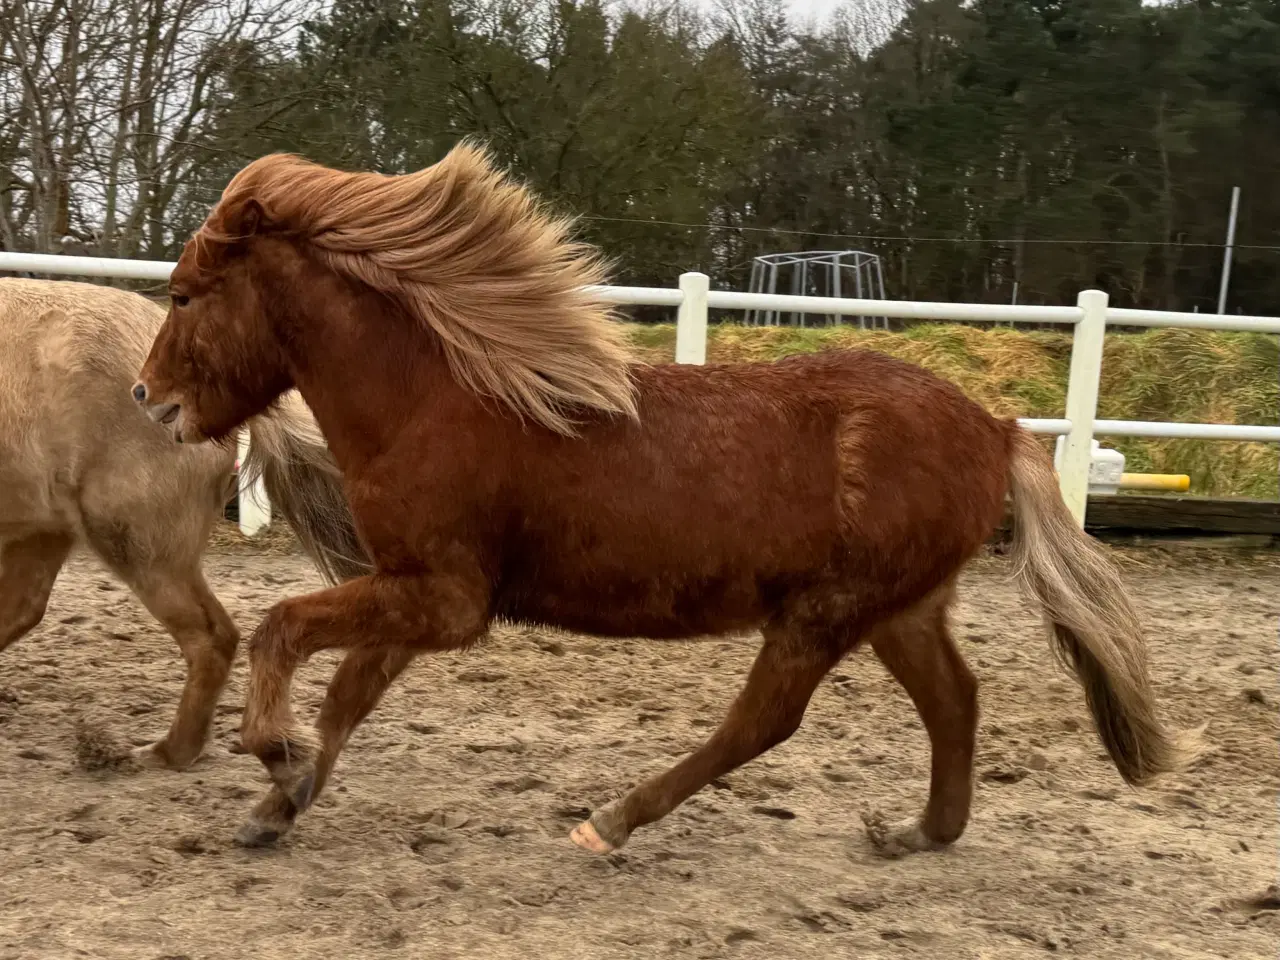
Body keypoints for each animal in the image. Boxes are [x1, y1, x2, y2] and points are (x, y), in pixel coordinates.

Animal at [132, 144, 1198, 855]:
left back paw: (612, 821)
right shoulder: (412, 588)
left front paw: (274, 756)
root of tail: (997, 427)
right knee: (954, 699)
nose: (150, 400)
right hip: (900, 608)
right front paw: (280, 803)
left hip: (825, 613)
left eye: (183, 294)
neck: (436, 398)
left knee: (763, 722)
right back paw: (917, 832)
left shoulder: (446, 597)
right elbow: (351, 692)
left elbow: (285, 628)